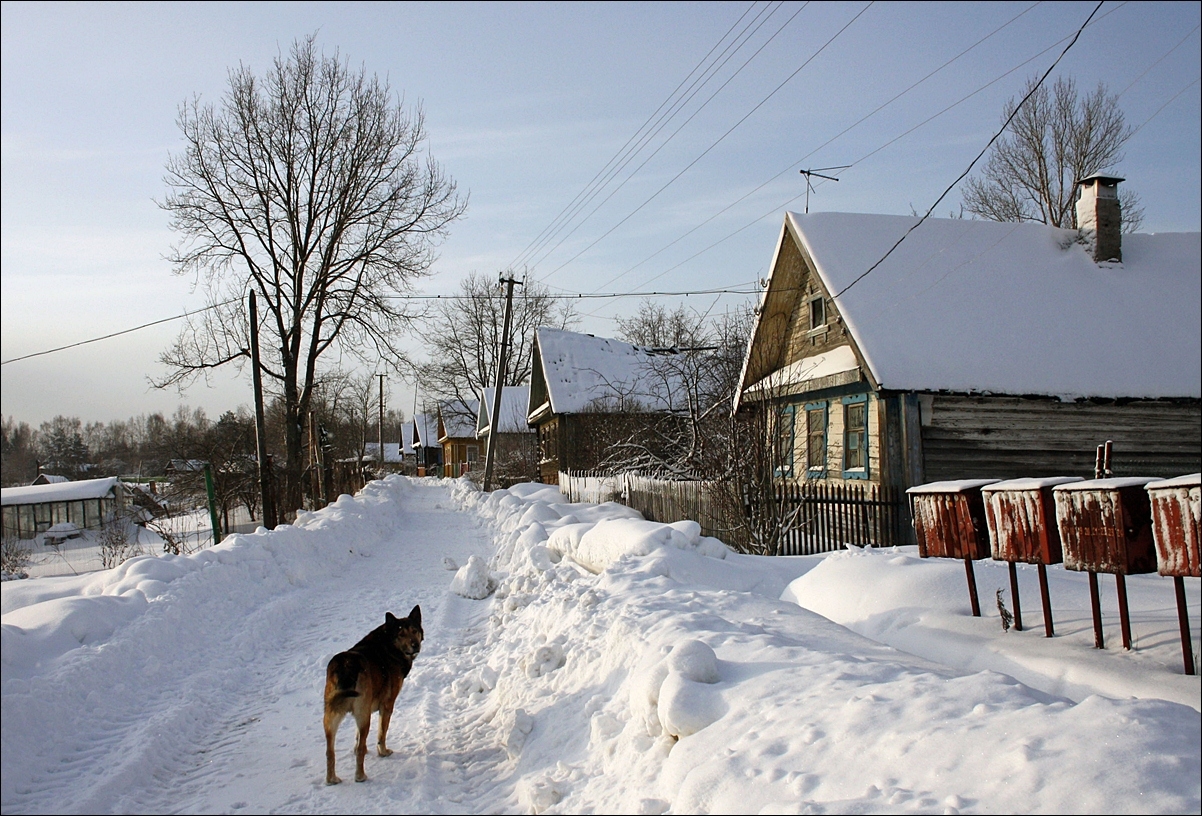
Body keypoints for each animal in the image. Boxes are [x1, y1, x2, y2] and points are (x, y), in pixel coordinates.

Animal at [324, 605, 423, 783]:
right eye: (401, 634)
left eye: (414, 630)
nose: (415, 645)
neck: (389, 645)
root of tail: (346, 665)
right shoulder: (387, 705)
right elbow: (381, 733)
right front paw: (383, 752)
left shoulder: (365, 709)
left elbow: (357, 739)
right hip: (362, 716)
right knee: (361, 748)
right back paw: (360, 776)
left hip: (331, 715)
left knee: (330, 751)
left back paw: (332, 779)